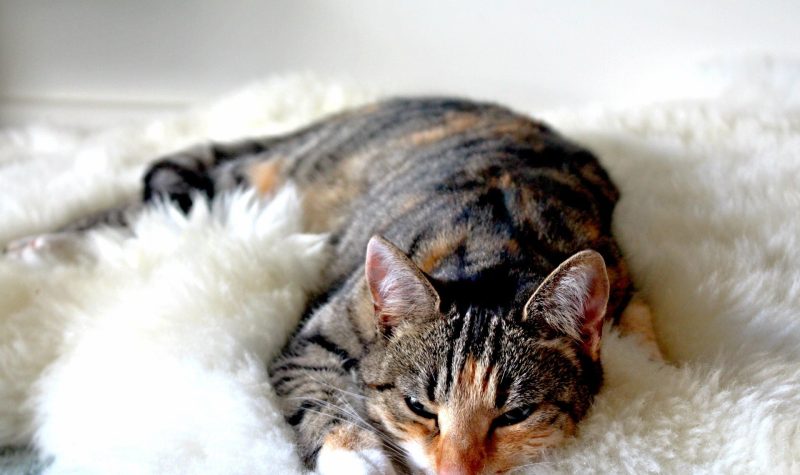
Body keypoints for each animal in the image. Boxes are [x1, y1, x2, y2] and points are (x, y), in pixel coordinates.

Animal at [6, 98, 656, 474]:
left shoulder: (629, 291)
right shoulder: (314, 341)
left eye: (515, 415)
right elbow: (321, 400)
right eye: (419, 406)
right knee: (142, 212)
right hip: (247, 182)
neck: (500, 248)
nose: (456, 472)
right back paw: (34, 247)